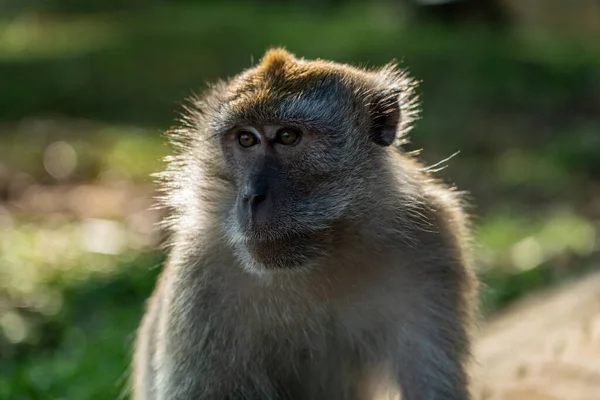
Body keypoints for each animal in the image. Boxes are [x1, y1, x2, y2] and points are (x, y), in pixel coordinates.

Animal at [132, 47, 478, 400]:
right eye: (246, 139)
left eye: (287, 136)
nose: (252, 197)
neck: (323, 257)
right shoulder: (202, 273)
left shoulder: (431, 244)